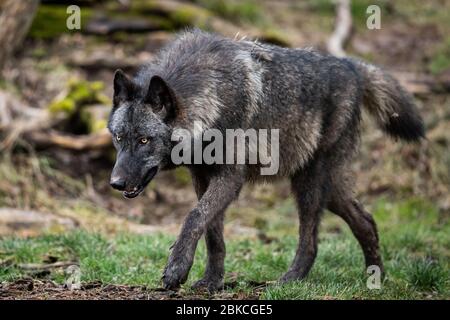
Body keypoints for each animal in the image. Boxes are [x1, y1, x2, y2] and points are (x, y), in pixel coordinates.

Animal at [107, 29, 424, 290]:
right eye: (119, 138)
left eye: (144, 140)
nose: (115, 183)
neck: (209, 99)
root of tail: (352, 66)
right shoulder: (202, 177)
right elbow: (213, 234)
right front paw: (212, 282)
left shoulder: (230, 178)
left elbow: (194, 216)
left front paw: (176, 269)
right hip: (329, 189)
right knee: (365, 221)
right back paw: (376, 278)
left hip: (309, 185)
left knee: (311, 240)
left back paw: (291, 280)